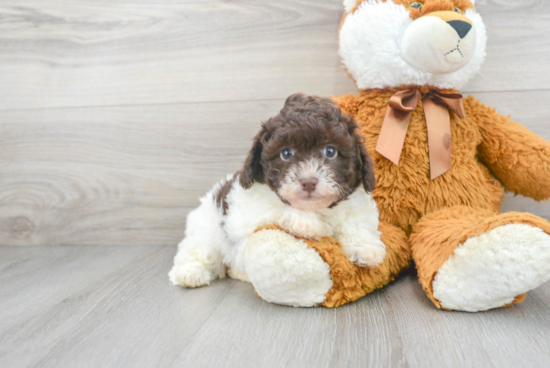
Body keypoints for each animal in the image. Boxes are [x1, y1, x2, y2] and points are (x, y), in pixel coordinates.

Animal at [170, 92, 386, 288]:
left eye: (330, 151)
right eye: (286, 153)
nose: (308, 182)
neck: (316, 208)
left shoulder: (357, 206)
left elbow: (357, 224)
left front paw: (365, 249)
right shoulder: (244, 217)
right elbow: (274, 210)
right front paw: (308, 224)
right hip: (206, 228)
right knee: (197, 252)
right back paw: (190, 273)